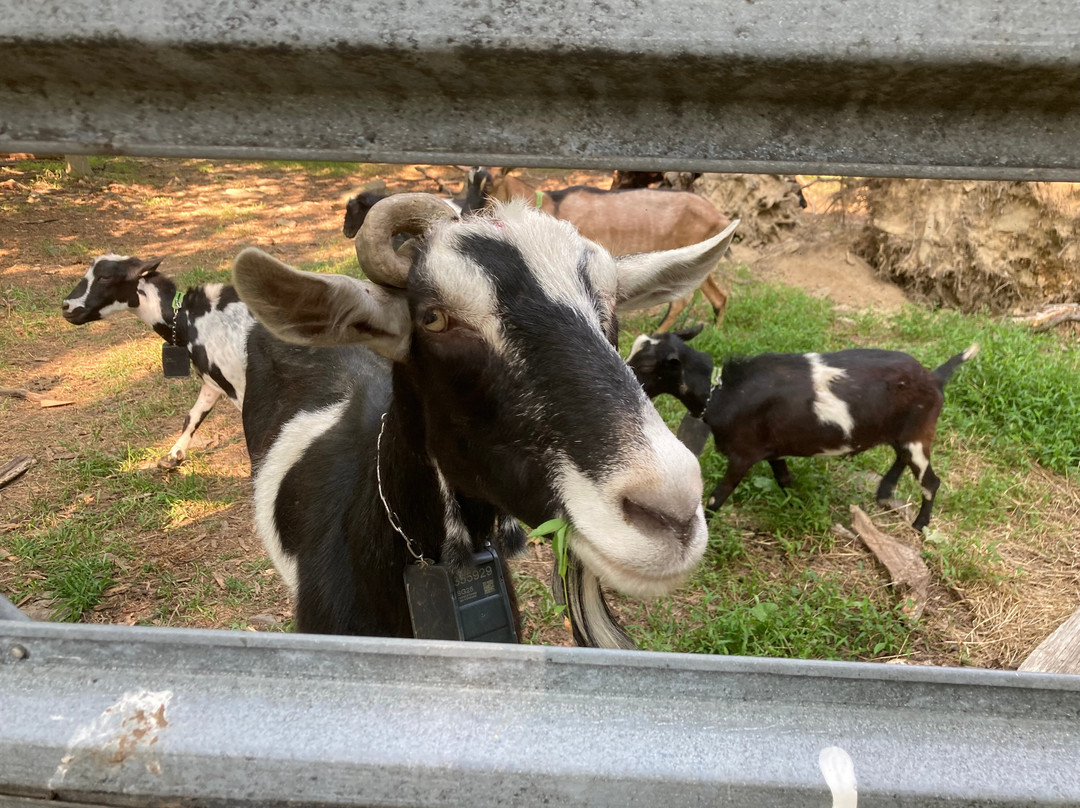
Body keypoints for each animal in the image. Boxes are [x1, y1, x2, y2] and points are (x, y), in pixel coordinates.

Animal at [62, 254, 255, 468]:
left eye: (105, 277)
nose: (66, 306)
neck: (189, 319)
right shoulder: (212, 382)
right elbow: (192, 416)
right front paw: (173, 455)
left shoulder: (238, 385)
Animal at [462, 167, 731, 330]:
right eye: (467, 184)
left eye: (489, 187)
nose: (465, 215)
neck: (552, 204)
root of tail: (721, 217)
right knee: (718, 296)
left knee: (682, 299)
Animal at [627, 327, 978, 531]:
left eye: (645, 365)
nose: (621, 375)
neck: (722, 390)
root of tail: (935, 377)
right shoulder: (770, 448)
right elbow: (784, 477)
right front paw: (795, 504)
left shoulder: (743, 454)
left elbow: (716, 498)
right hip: (904, 434)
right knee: (902, 459)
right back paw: (884, 492)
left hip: (918, 433)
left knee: (931, 481)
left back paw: (919, 524)